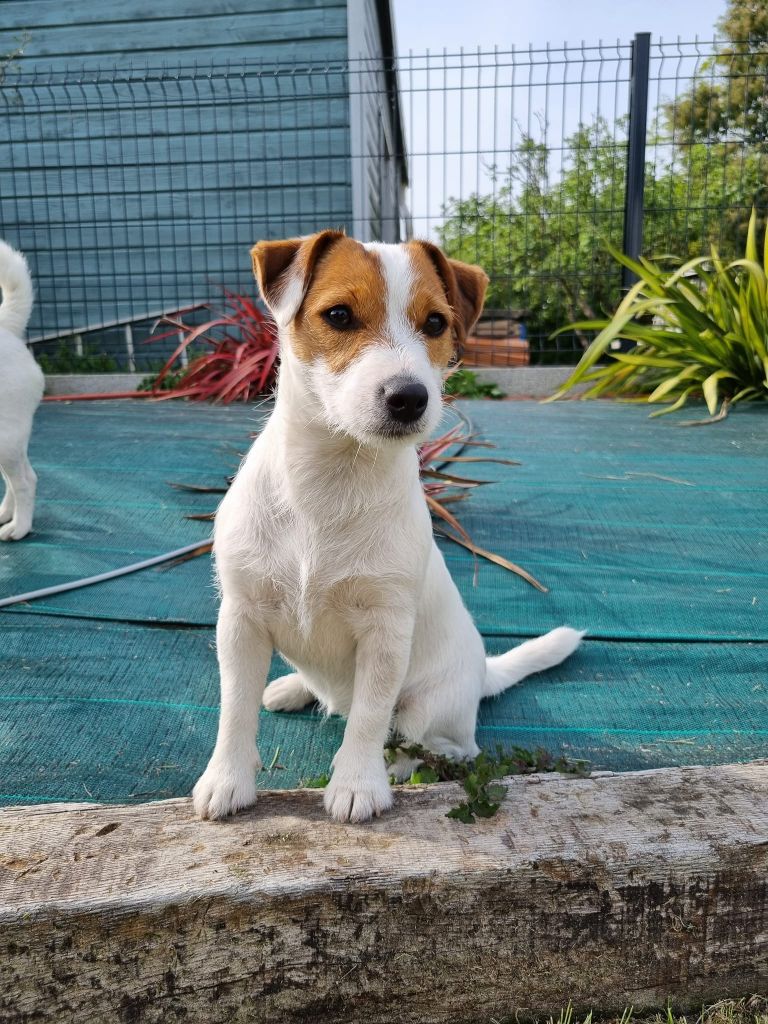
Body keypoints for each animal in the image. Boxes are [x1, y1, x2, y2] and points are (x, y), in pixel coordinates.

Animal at [193, 230, 581, 823]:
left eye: (436, 323)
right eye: (338, 315)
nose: (409, 398)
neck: (329, 484)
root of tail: (482, 672)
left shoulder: (385, 631)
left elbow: (370, 719)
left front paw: (357, 783)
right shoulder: (240, 619)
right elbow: (234, 708)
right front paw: (226, 779)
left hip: (431, 705)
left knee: (435, 742)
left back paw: (401, 764)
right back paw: (292, 688)